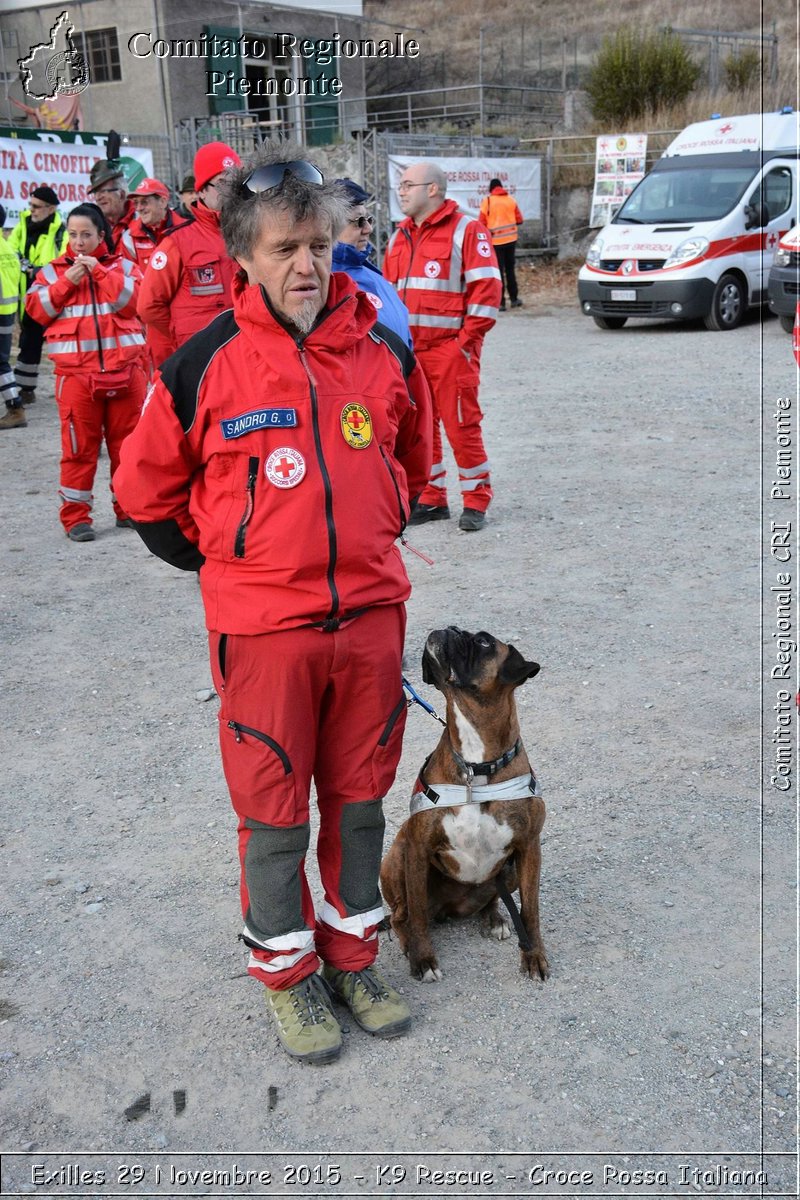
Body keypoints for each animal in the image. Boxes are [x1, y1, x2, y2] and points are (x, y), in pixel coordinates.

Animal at [381, 628, 551, 984]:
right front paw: (423, 958)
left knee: (494, 898)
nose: (450, 629)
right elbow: (417, 915)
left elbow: (530, 910)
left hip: (509, 870)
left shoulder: (529, 848)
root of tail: (451, 909)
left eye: (484, 642)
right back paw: (408, 943)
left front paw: (533, 955)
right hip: (397, 857)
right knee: (402, 916)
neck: (476, 764)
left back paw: (495, 918)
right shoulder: (417, 849)